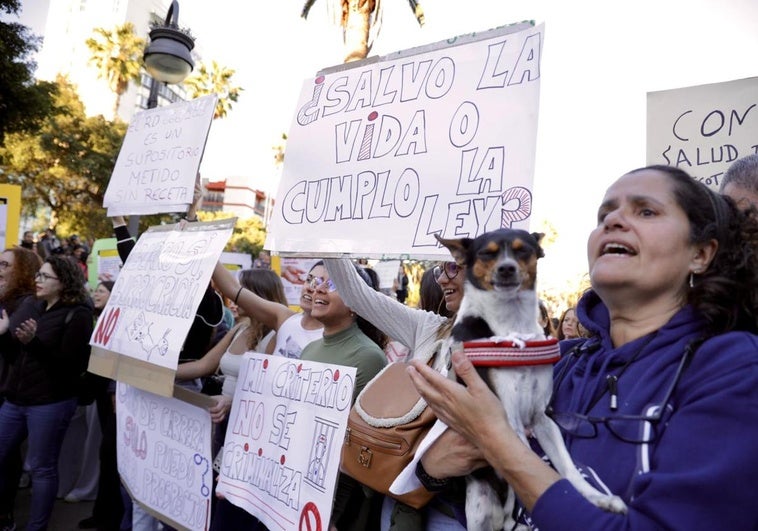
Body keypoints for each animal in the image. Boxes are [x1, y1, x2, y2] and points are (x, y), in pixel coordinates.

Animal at [436, 231, 628, 531]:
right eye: (487, 253)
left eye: (522, 250)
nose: (506, 268)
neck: (513, 327)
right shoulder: (509, 421)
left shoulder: (541, 419)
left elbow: (567, 469)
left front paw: (597, 499)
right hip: (479, 508)